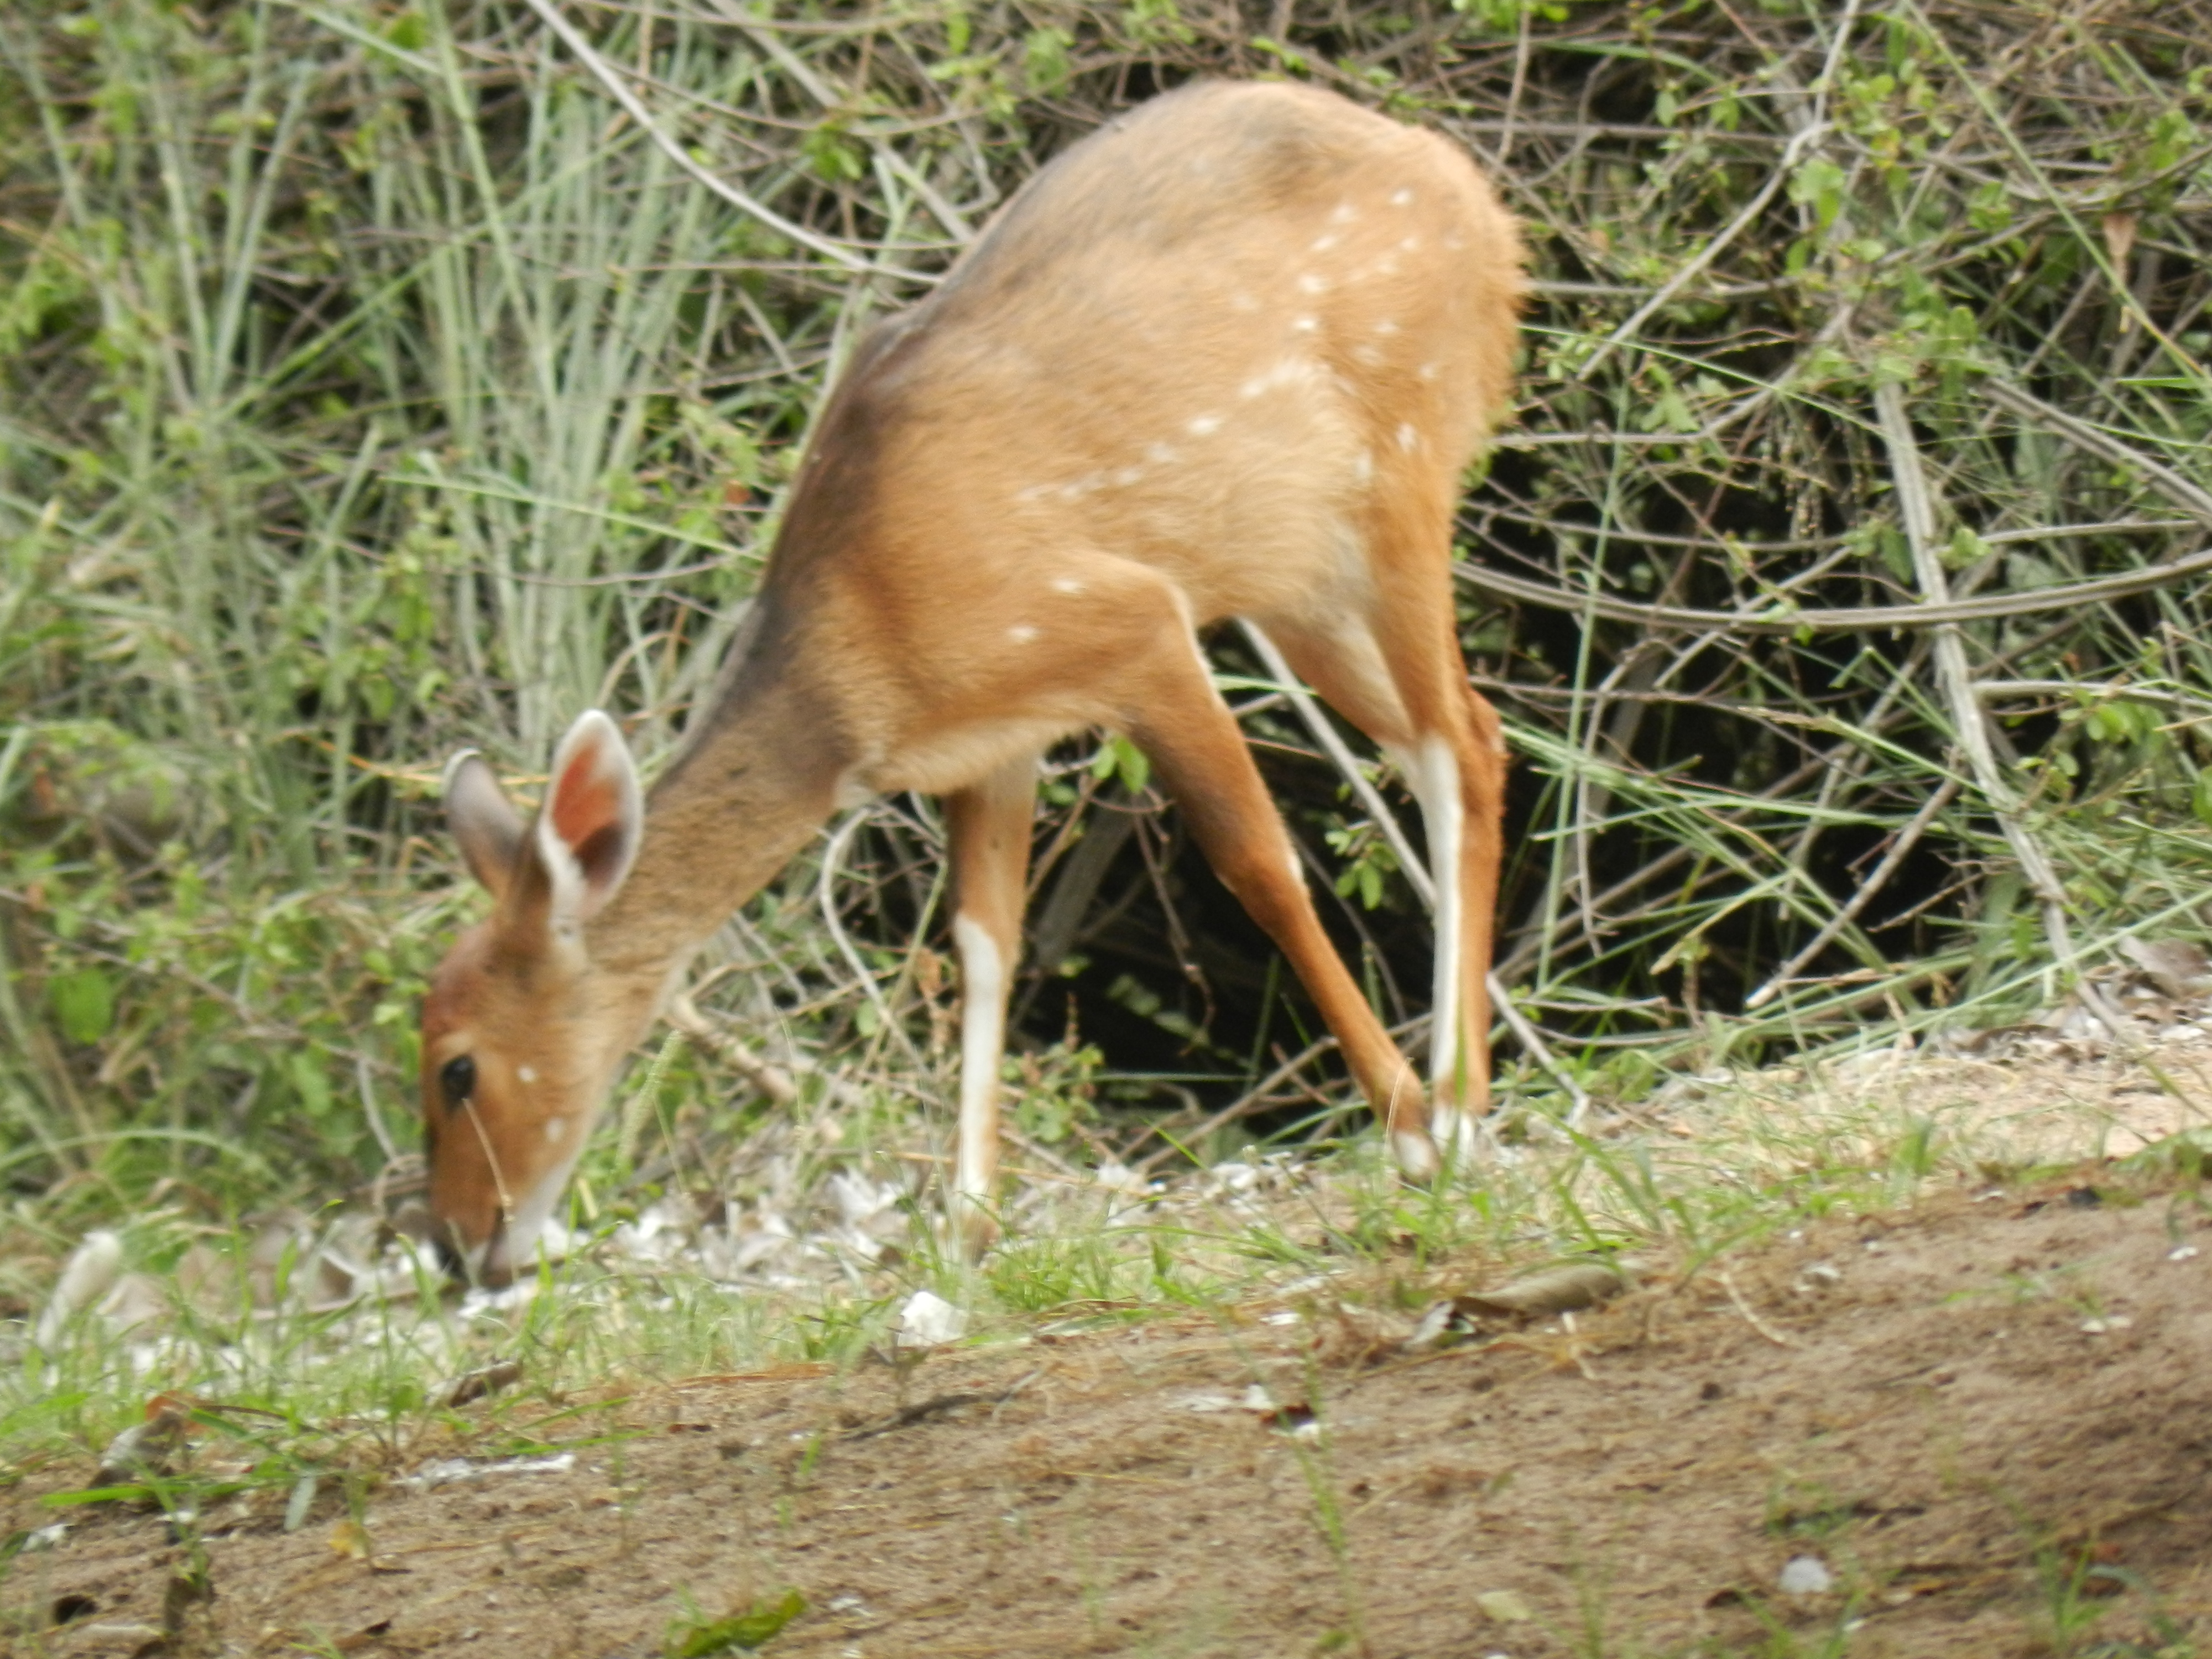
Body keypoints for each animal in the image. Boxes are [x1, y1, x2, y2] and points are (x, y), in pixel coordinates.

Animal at [418, 78, 1522, 1283]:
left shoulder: (1131, 624)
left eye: (455, 1066)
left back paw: (1458, 1110)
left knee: (1456, 740)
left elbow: (1257, 865)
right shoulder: (996, 734)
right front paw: (965, 1228)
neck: (862, 660)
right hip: (1294, 572)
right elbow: (983, 944)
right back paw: (1469, 1094)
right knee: (1460, 732)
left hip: (1396, 463)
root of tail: (1475, 195)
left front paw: (1402, 1126)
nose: (456, 1248)